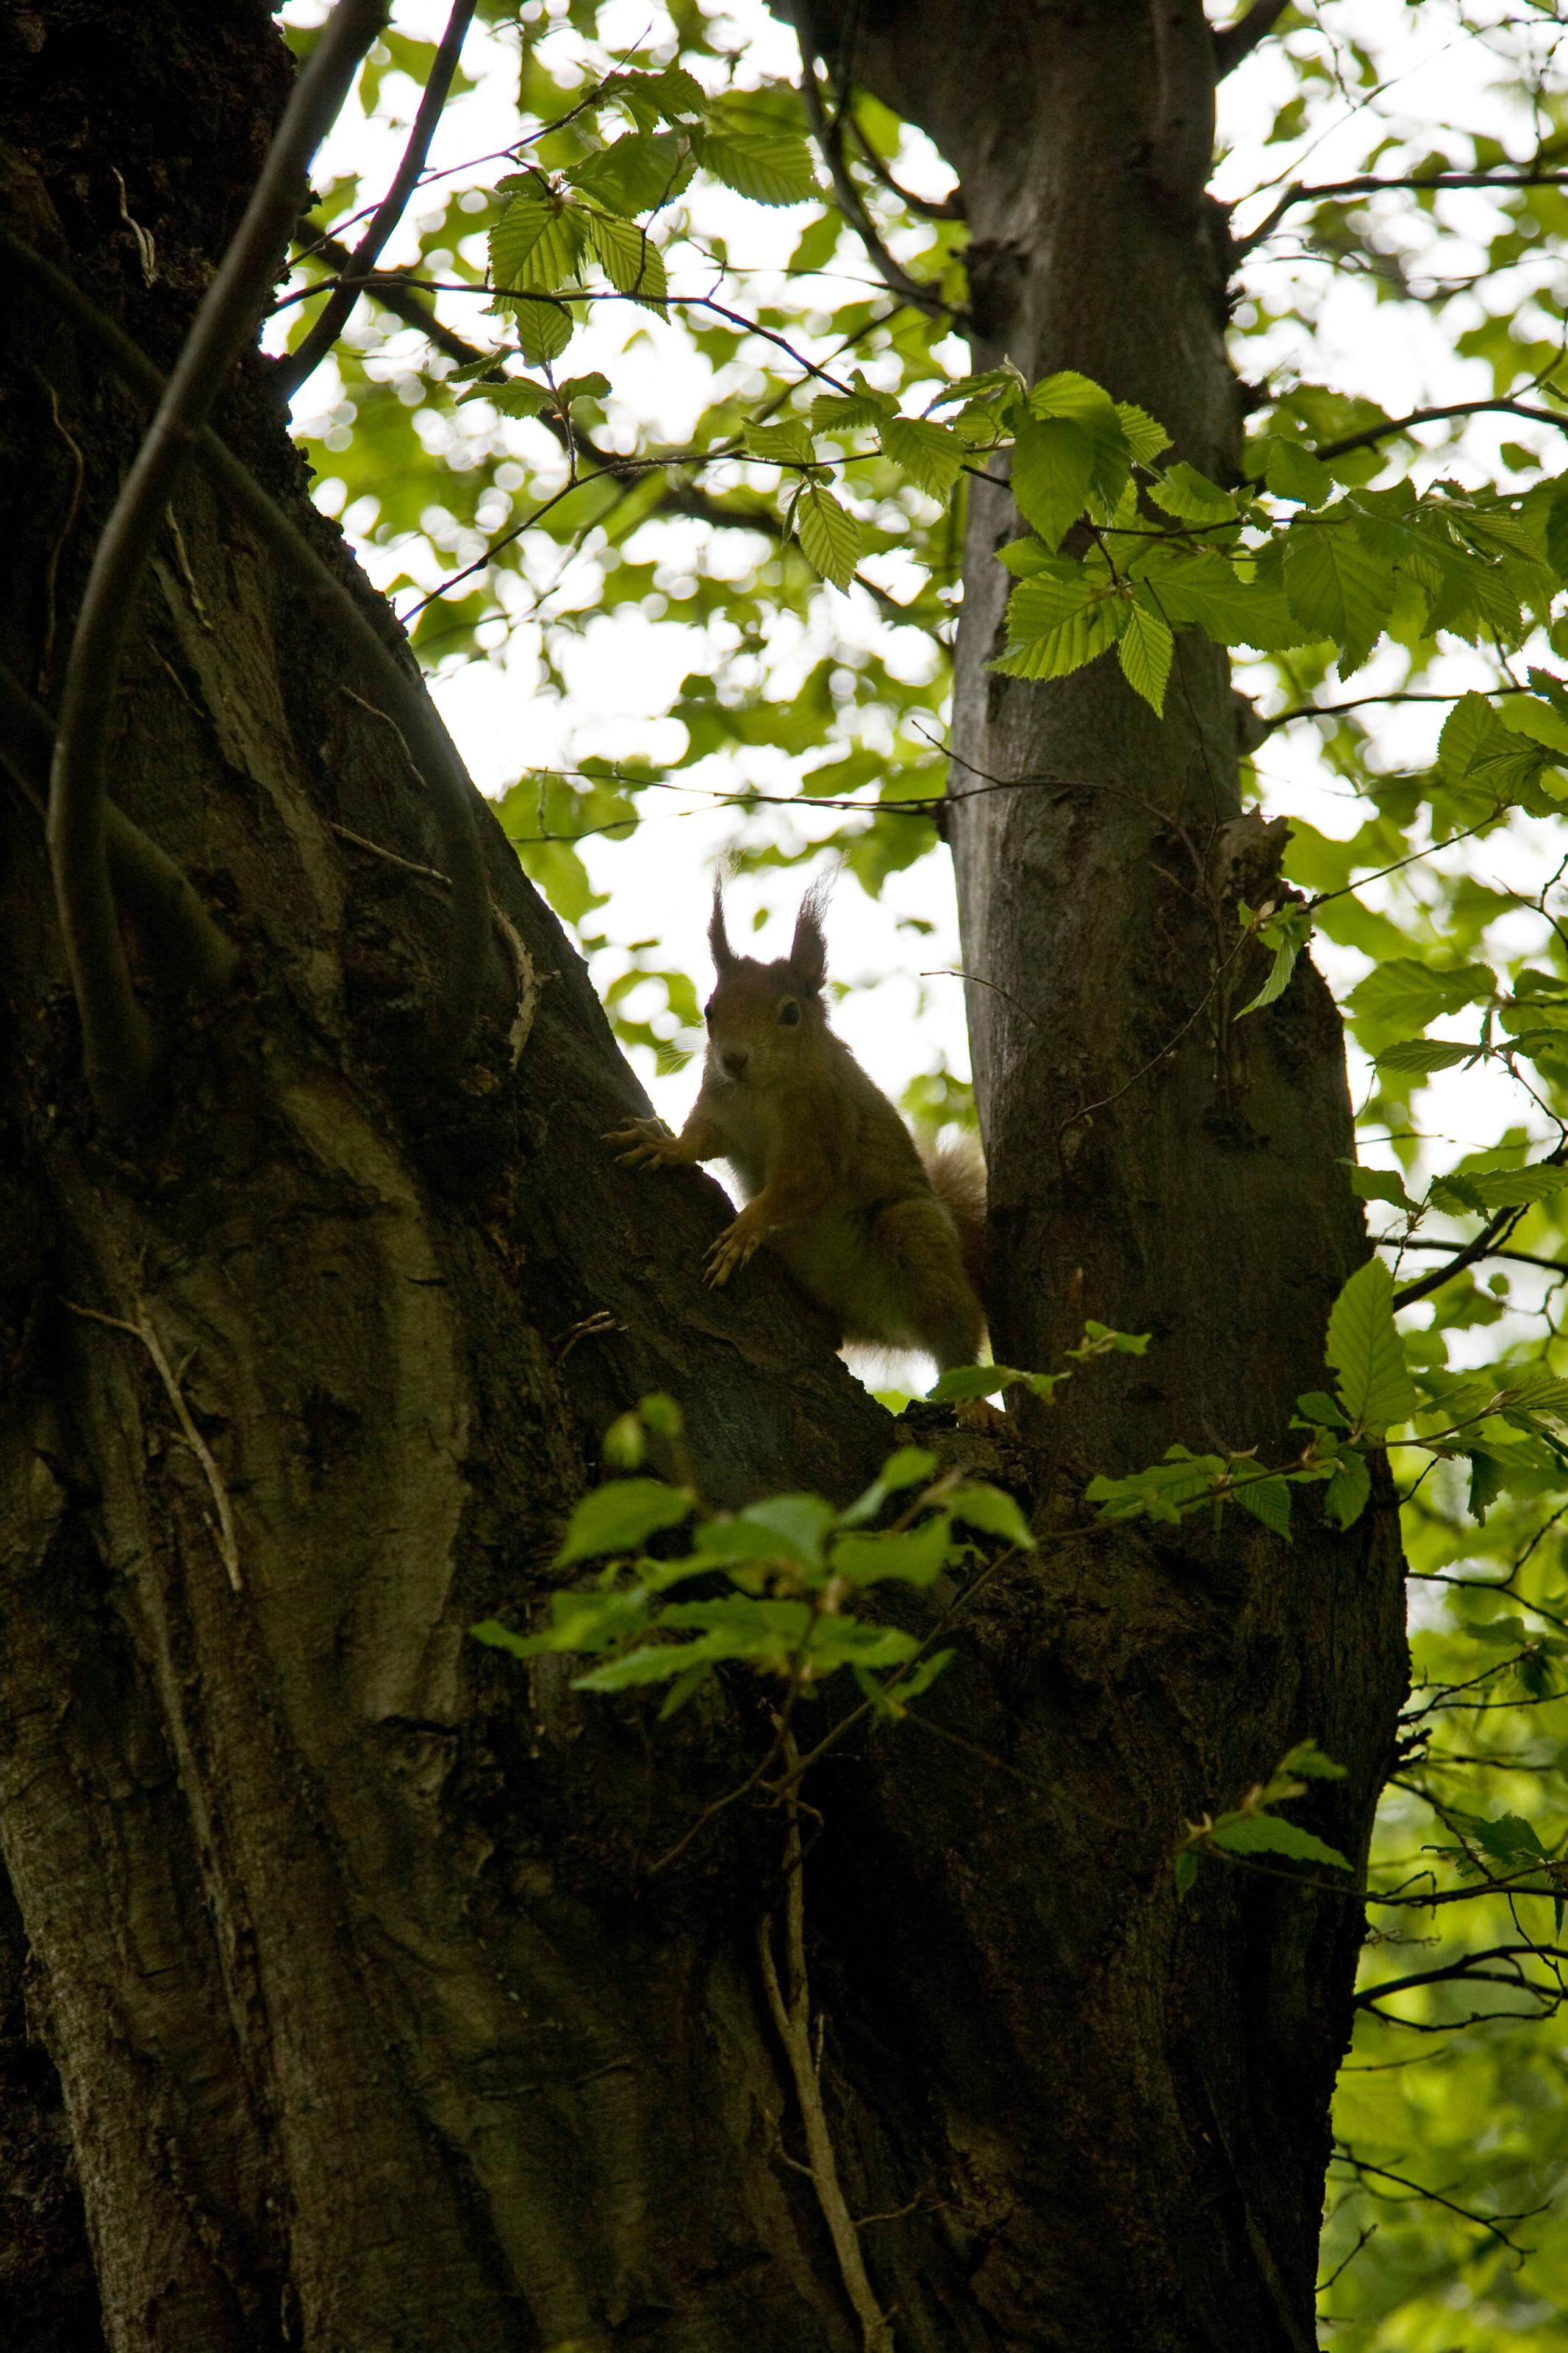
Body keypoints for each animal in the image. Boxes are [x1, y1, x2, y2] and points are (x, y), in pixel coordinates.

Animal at [605, 881, 989, 1375]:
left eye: (790, 1014)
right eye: (709, 1010)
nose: (734, 1059)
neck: (761, 1091)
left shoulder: (822, 1125)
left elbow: (804, 1184)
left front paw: (746, 1228)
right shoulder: (719, 1107)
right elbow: (700, 1140)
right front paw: (665, 1146)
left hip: (917, 1236)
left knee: (955, 1331)